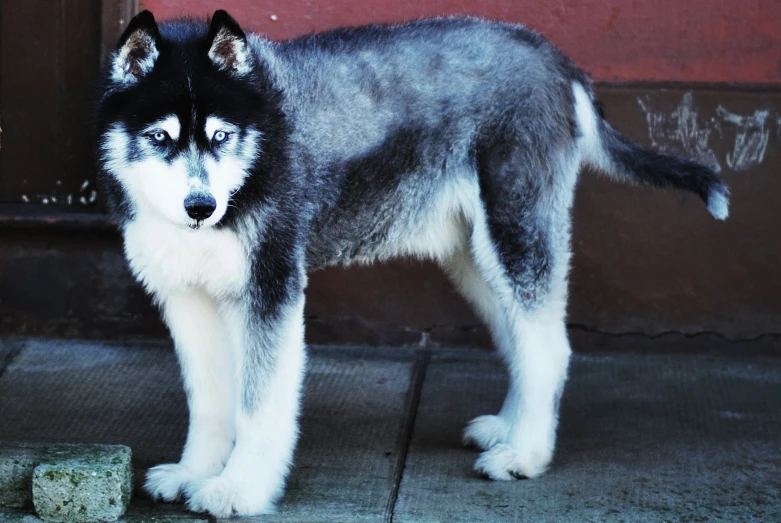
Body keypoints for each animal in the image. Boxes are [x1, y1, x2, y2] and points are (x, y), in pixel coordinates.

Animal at [94, 10, 728, 516]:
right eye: (160, 138)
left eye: (221, 136)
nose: (201, 206)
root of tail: (552, 54)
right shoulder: (188, 298)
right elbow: (209, 403)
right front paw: (195, 472)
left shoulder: (270, 292)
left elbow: (258, 406)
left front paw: (239, 489)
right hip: (477, 259)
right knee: (522, 339)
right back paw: (510, 429)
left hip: (516, 234)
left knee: (550, 346)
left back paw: (525, 454)